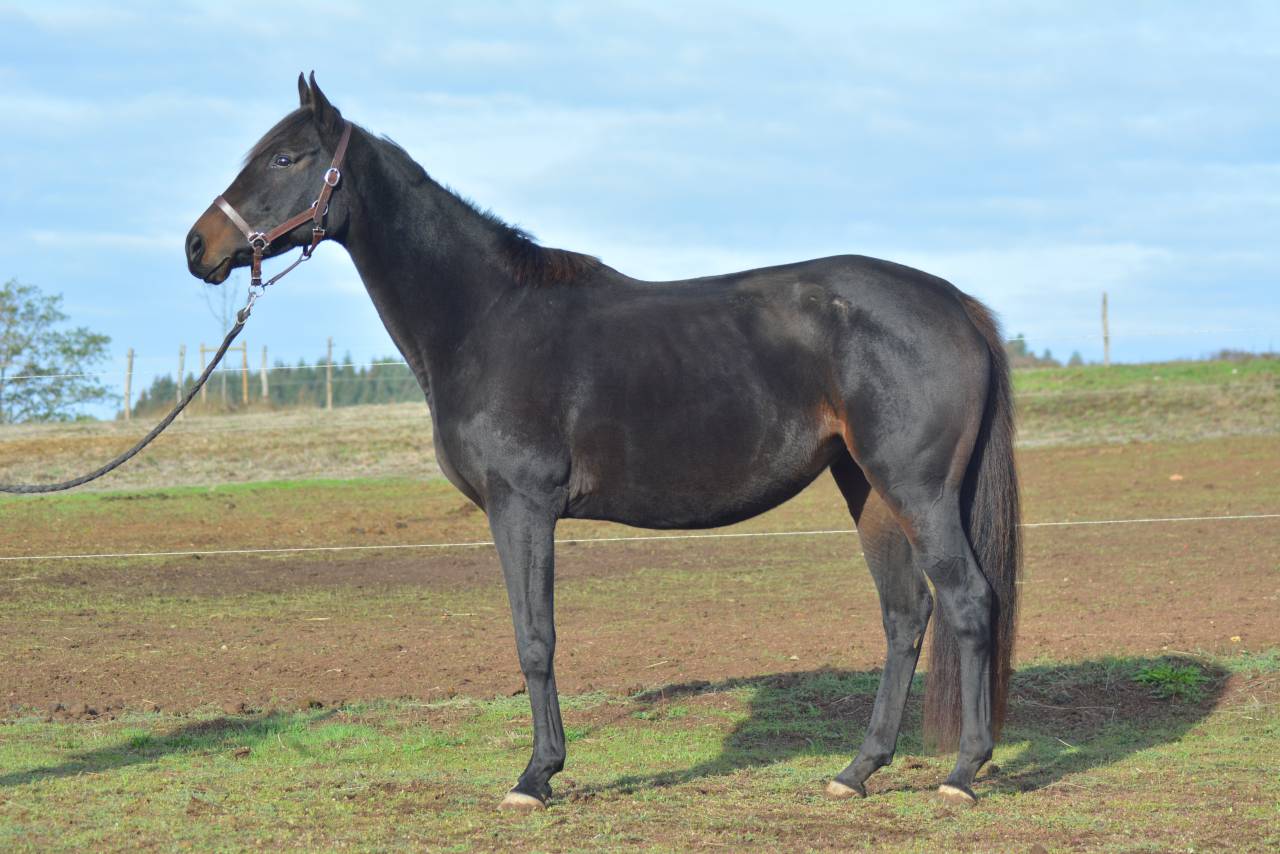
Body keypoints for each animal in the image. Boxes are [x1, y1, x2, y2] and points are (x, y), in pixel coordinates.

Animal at [185, 74, 1021, 813]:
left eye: (286, 158)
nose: (199, 246)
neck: (486, 318)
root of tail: (954, 302)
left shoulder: (521, 507)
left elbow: (535, 638)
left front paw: (536, 776)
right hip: (868, 488)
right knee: (906, 615)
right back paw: (857, 771)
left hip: (917, 492)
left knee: (969, 601)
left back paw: (963, 771)